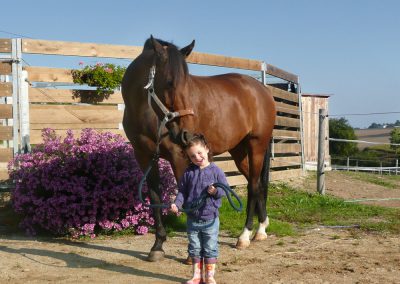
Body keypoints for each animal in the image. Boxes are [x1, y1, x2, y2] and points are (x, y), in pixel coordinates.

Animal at [122, 36, 276, 262]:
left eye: (188, 85)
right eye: (169, 82)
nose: (186, 134)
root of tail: (263, 90)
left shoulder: (179, 157)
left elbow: (188, 201)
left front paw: (190, 254)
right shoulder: (144, 157)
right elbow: (155, 197)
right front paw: (157, 246)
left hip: (256, 145)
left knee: (254, 186)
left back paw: (245, 235)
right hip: (239, 151)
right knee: (256, 183)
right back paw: (261, 229)